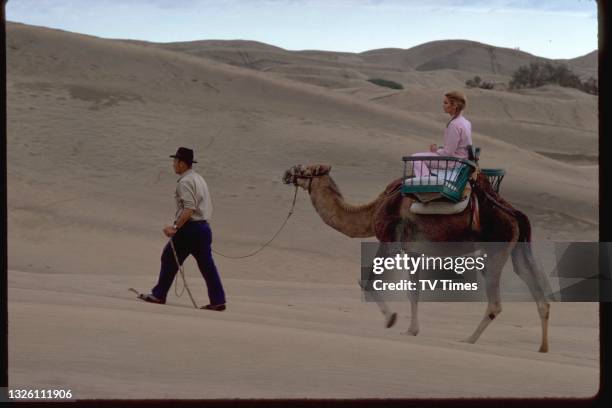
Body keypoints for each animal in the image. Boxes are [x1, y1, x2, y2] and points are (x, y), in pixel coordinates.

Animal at [284, 164, 552, 352]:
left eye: (305, 170)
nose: (287, 173)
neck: (373, 210)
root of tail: (514, 213)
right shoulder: (413, 250)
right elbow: (413, 291)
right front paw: (411, 330)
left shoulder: (389, 240)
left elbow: (367, 281)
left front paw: (391, 319)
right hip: (517, 247)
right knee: (536, 288)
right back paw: (543, 347)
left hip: (495, 249)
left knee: (495, 302)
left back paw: (468, 339)